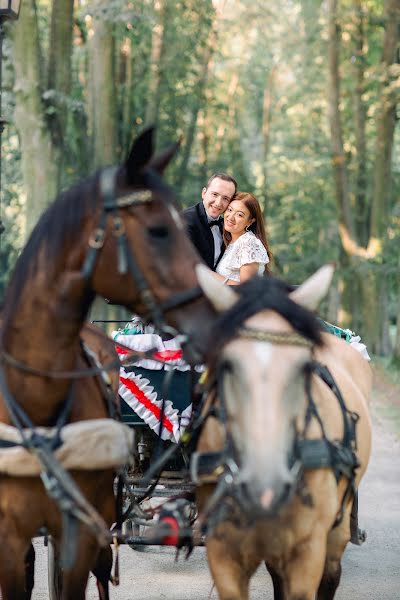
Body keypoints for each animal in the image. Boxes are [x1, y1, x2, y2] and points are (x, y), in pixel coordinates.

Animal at [194, 266, 372, 600]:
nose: (265, 488)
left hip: (337, 528)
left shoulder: (308, 549)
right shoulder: (222, 551)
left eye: (305, 366)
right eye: (226, 364)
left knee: (331, 574)